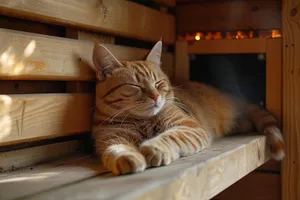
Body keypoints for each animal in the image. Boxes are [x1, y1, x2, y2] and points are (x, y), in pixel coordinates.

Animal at [90, 40, 284, 175]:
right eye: (135, 86)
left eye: (158, 83)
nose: (155, 96)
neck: (143, 121)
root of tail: (231, 95)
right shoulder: (111, 138)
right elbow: (117, 148)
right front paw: (128, 157)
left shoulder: (189, 127)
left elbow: (170, 136)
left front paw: (154, 148)